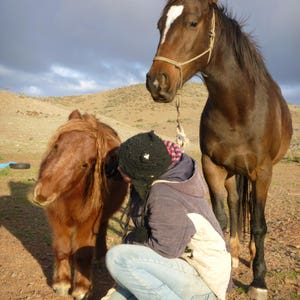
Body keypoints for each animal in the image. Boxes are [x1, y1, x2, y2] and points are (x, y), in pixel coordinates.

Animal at [31, 110, 127, 300]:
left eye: (85, 164)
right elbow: (61, 248)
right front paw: (62, 283)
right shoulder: (56, 218)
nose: (42, 194)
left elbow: (83, 254)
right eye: (56, 146)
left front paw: (82, 289)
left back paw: (101, 256)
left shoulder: (88, 222)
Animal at [146, 1, 292, 298]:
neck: (239, 108)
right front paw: (222, 266)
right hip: (232, 172)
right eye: (159, 25)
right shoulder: (212, 166)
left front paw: (259, 281)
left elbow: (258, 225)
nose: (156, 82)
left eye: (192, 23)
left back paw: (250, 253)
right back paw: (235, 255)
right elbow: (220, 218)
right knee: (235, 203)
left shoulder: (263, 171)